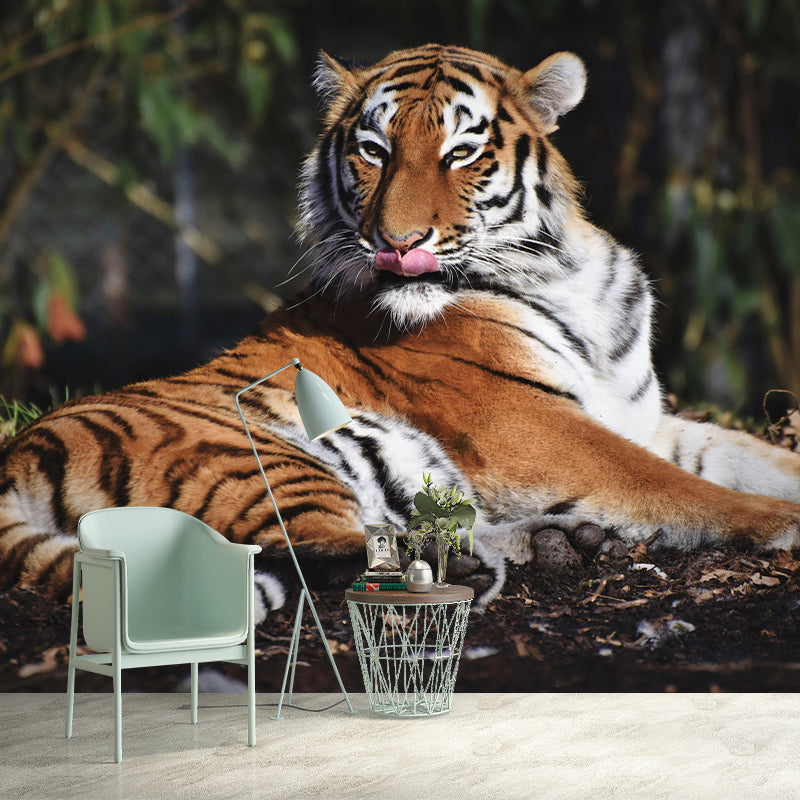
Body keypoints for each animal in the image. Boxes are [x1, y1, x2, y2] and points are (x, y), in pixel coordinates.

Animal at [2, 43, 800, 615]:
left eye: (461, 152)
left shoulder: (643, 420)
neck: (566, 273)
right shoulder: (527, 425)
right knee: (324, 552)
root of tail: (17, 455)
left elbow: (748, 458)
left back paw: (557, 542)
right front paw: (781, 521)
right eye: (374, 151)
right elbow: (679, 488)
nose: (395, 242)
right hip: (251, 452)